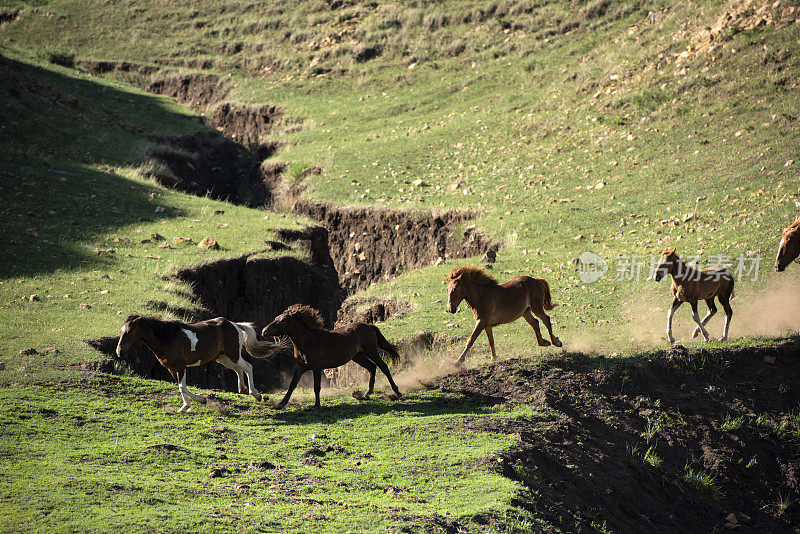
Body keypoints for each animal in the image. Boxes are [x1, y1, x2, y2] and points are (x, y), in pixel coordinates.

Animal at [116, 318, 282, 414]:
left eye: (130, 331)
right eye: (121, 331)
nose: (119, 351)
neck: (168, 339)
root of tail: (234, 325)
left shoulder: (181, 366)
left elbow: (182, 387)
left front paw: (196, 402)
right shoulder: (171, 368)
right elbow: (180, 387)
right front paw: (188, 405)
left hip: (233, 355)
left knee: (248, 367)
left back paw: (256, 394)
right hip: (223, 357)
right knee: (239, 369)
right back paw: (242, 389)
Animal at [262, 304, 404, 412]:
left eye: (283, 320)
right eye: (276, 318)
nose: (264, 331)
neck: (309, 341)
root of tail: (369, 326)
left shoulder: (316, 367)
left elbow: (316, 386)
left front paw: (316, 406)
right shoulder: (300, 366)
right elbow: (292, 385)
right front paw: (280, 404)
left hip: (371, 351)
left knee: (383, 367)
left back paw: (397, 392)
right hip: (358, 356)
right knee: (372, 367)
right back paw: (367, 393)